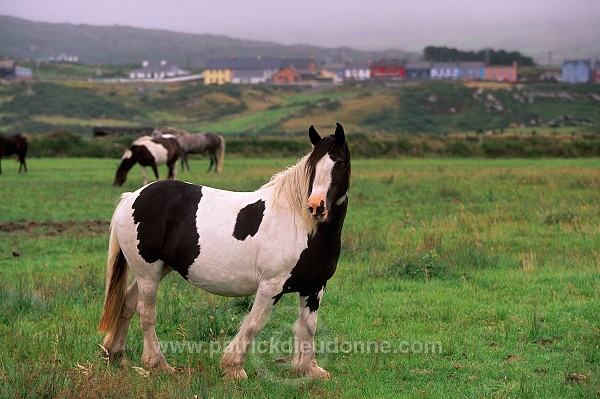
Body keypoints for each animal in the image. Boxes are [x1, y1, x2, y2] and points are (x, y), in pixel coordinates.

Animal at [98, 123, 352, 380]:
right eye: (313, 165)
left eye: (339, 163)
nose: (316, 206)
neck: (300, 225)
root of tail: (132, 197)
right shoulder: (271, 285)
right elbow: (254, 324)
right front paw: (234, 367)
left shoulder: (315, 287)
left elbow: (309, 325)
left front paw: (309, 369)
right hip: (148, 271)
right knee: (146, 312)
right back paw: (157, 363)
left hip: (156, 269)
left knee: (127, 303)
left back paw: (117, 355)